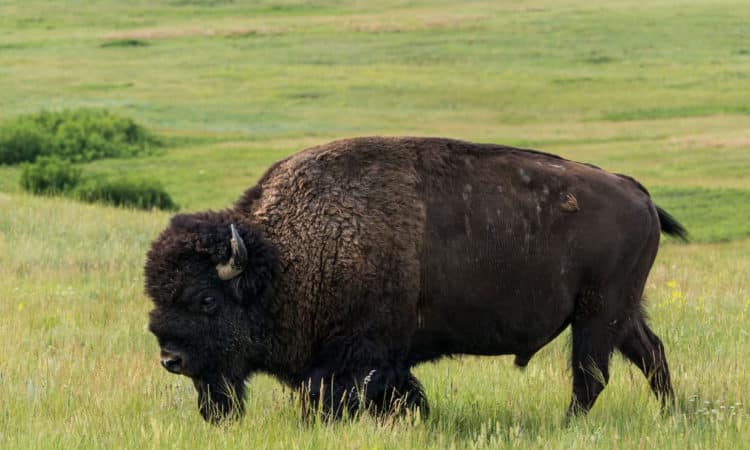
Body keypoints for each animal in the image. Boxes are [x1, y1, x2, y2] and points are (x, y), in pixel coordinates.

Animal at [142, 136, 688, 422]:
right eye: (157, 296)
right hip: (619, 312)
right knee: (651, 354)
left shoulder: (357, 357)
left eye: (207, 301)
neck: (283, 258)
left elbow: (338, 396)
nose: (171, 359)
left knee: (591, 376)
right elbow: (402, 393)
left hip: (597, 314)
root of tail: (636, 191)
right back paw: (670, 414)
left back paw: (566, 424)